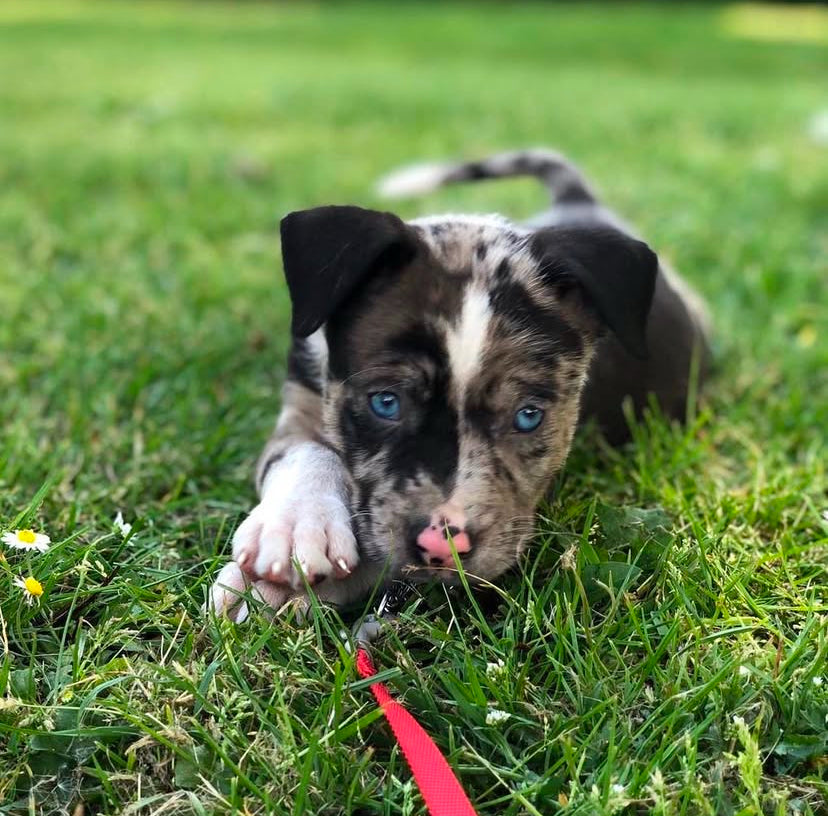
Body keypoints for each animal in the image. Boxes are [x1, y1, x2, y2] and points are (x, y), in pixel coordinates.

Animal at [210, 148, 708, 620]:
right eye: (385, 403)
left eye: (529, 416)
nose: (442, 545)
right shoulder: (303, 399)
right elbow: (303, 452)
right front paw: (295, 526)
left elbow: (383, 542)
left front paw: (284, 588)